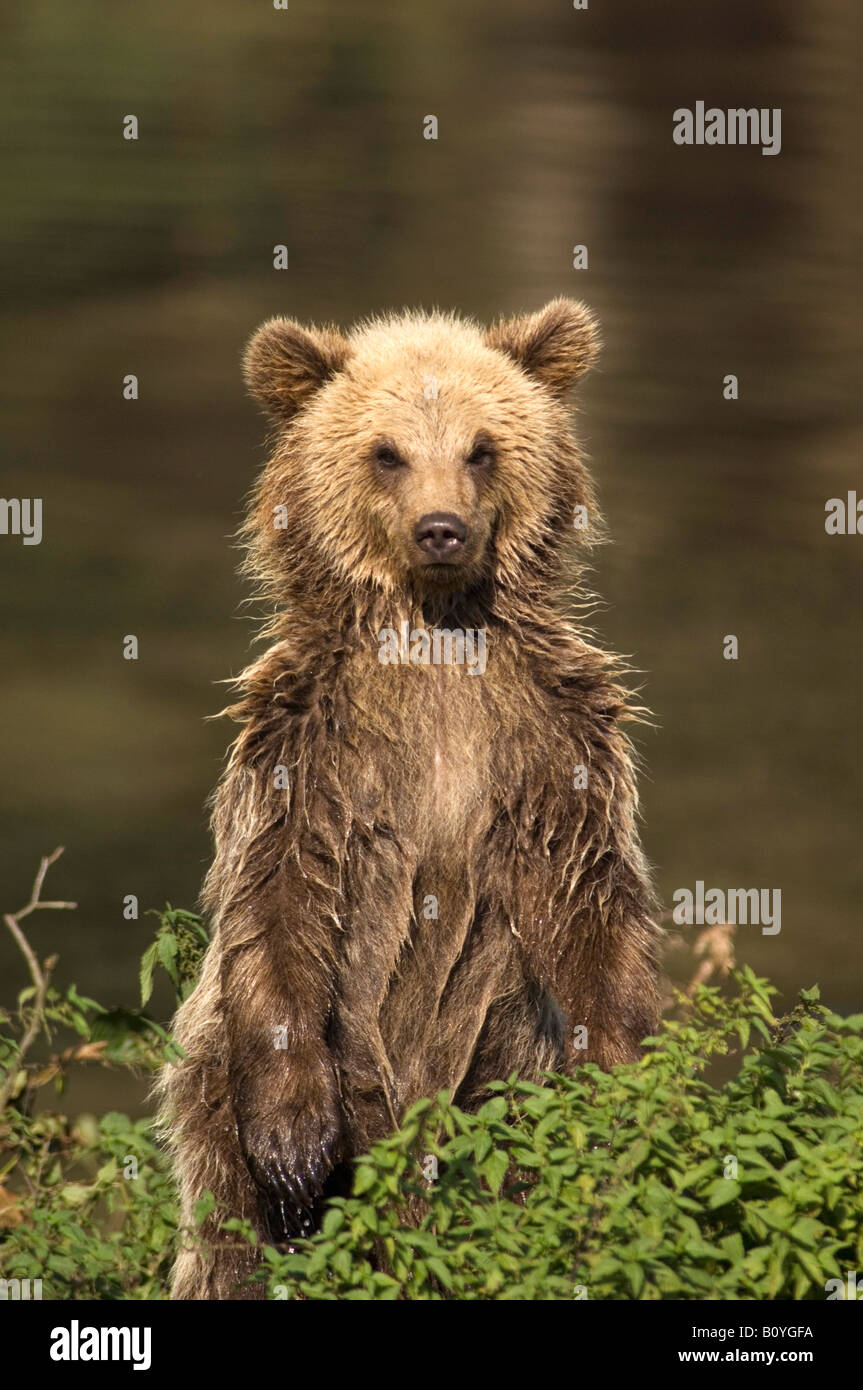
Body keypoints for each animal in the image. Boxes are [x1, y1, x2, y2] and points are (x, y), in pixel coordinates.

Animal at [159, 298, 660, 1300]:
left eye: (482, 447)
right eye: (385, 451)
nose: (440, 529)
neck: (433, 636)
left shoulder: (551, 744)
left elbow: (590, 905)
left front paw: (626, 1097)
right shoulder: (309, 752)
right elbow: (277, 897)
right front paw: (294, 1150)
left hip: (503, 1069)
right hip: (217, 1085)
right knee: (228, 1229)